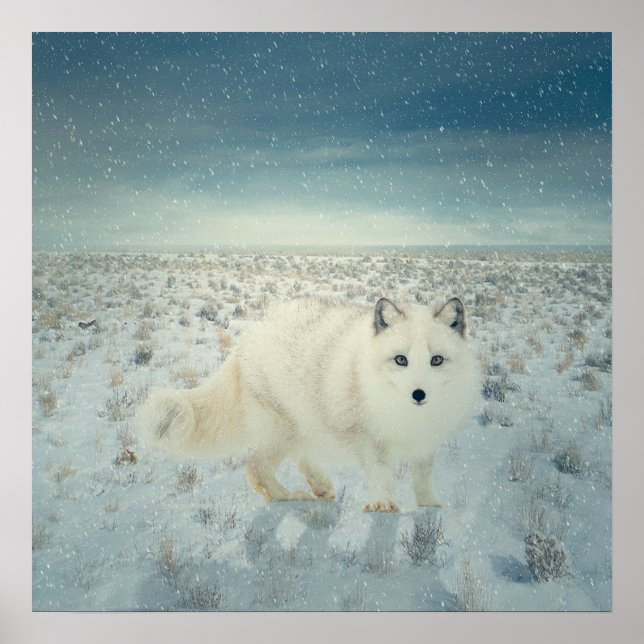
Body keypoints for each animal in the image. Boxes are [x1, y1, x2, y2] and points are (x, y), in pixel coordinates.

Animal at [139, 296, 480, 512]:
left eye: (436, 360)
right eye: (401, 360)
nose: (418, 394)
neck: (406, 416)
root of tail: (249, 335)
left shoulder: (426, 442)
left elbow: (423, 477)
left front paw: (430, 504)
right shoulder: (369, 439)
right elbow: (381, 473)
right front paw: (382, 504)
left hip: (304, 425)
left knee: (300, 459)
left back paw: (321, 487)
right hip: (281, 430)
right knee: (255, 466)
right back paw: (289, 497)